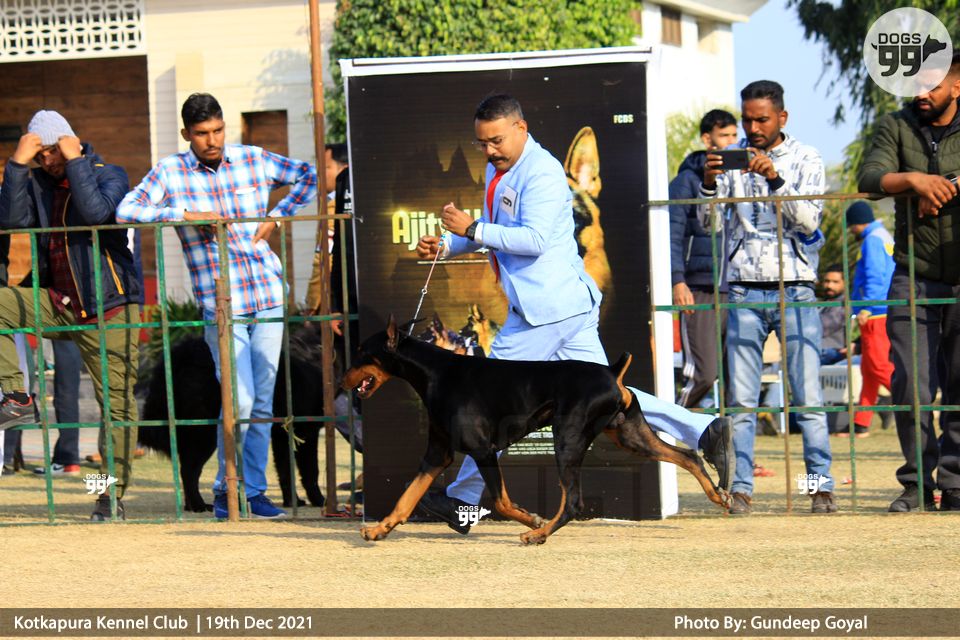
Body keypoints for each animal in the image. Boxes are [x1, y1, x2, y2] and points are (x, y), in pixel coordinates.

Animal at [138, 324, 340, 511]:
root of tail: (181, 353)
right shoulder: (305, 432)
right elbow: (310, 471)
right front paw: (319, 501)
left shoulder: (282, 434)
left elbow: (285, 470)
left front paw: (292, 501)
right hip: (204, 432)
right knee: (189, 469)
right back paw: (198, 505)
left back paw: (192, 506)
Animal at [342, 316, 728, 545]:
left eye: (361, 352)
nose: (342, 381)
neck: (435, 373)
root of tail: (611, 372)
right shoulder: (437, 454)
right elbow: (406, 498)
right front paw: (378, 529)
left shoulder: (482, 450)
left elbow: (502, 500)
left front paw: (531, 519)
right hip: (630, 435)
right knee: (687, 455)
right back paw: (719, 494)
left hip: (567, 440)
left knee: (573, 502)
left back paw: (540, 533)